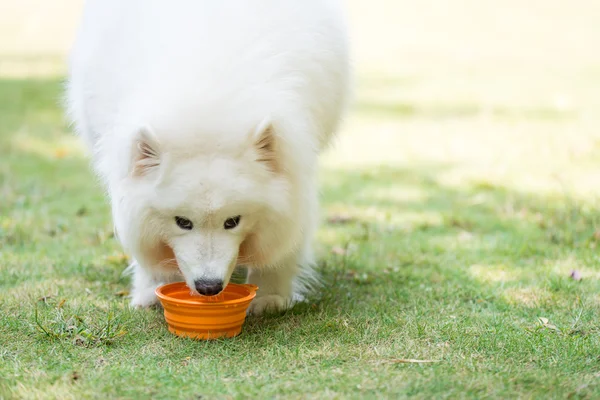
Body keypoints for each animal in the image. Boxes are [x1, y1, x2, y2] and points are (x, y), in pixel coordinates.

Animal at [67, 0, 352, 314]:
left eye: (233, 221)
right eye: (182, 222)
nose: (209, 287)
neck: (205, 107)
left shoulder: (295, 167)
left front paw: (270, 296)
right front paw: (153, 289)